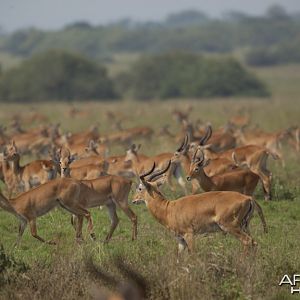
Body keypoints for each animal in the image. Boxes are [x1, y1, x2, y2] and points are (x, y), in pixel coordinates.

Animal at [132, 162, 266, 255]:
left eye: (140, 188)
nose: (133, 200)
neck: (168, 209)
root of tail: (248, 198)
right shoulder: (180, 240)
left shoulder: (189, 235)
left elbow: (193, 255)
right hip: (245, 227)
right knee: (254, 243)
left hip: (231, 227)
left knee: (247, 241)